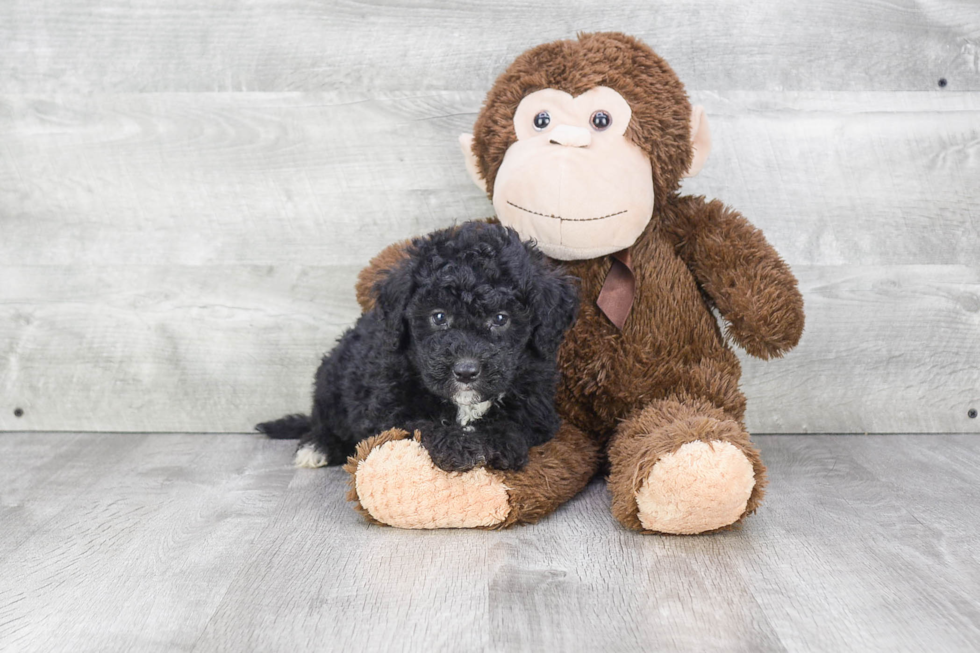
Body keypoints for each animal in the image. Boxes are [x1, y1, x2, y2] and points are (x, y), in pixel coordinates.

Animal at [260, 222, 580, 472]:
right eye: (438, 316)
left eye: (500, 319)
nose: (466, 371)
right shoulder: (386, 411)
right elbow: (419, 425)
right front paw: (456, 445)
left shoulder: (538, 409)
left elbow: (513, 424)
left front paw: (494, 442)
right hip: (331, 381)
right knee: (324, 422)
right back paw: (317, 446)